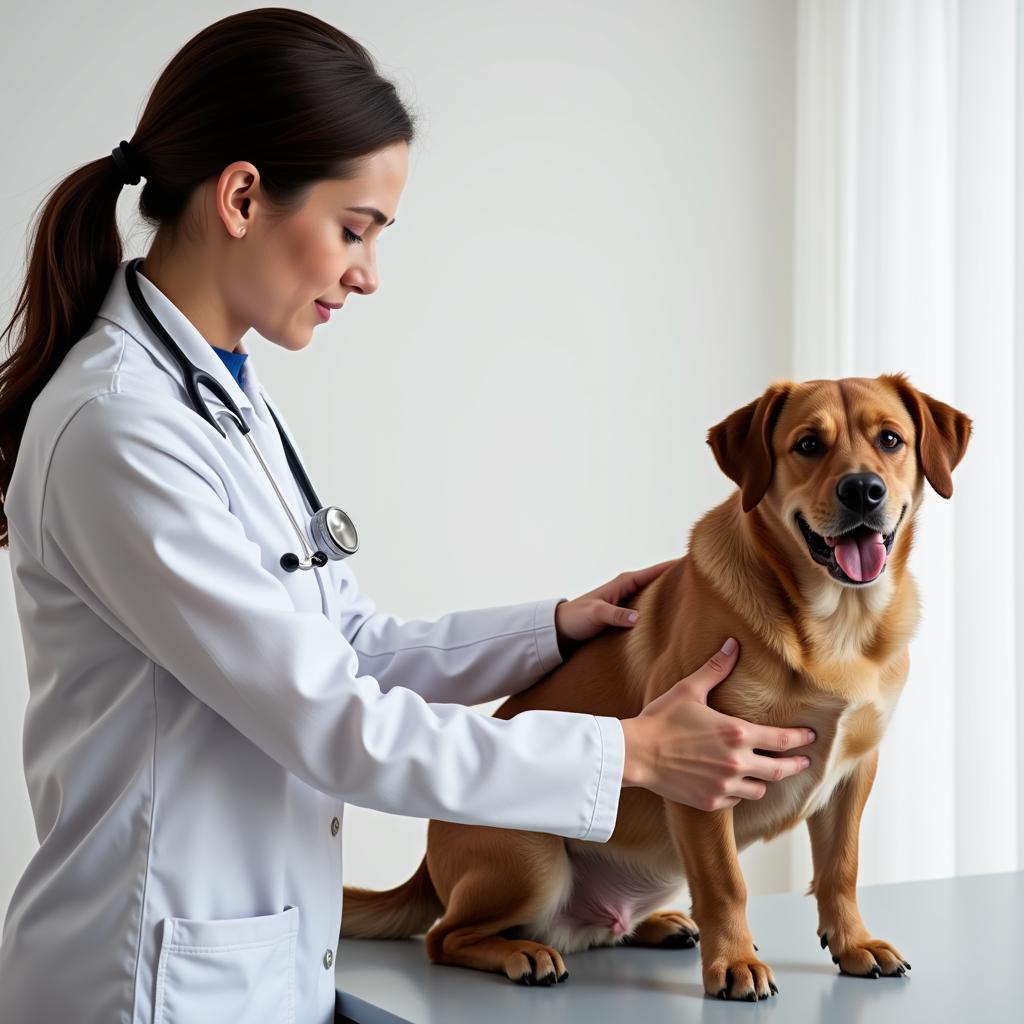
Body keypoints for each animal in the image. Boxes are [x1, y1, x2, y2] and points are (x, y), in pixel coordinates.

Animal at [339, 374, 970, 999]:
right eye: (809, 445)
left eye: (890, 439)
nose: (863, 490)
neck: (837, 626)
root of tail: (423, 869)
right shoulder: (706, 780)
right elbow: (725, 882)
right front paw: (734, 962)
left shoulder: (854, 773)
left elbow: (841, 869)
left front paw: (853, 943)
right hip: (531, 860)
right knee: (444, 937)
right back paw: (523, 953)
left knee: (595, 930)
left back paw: (656, 925)